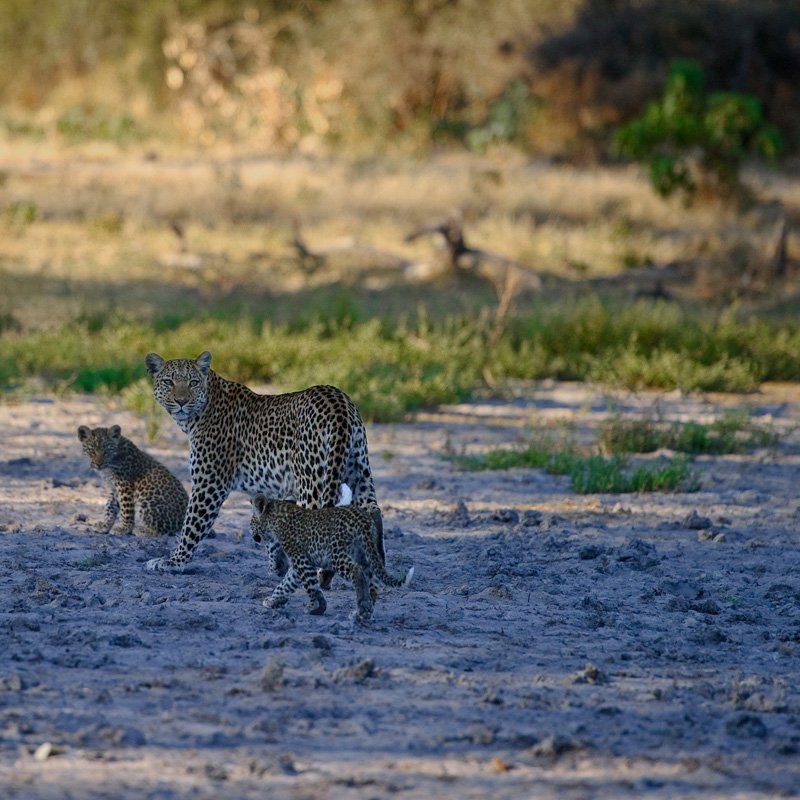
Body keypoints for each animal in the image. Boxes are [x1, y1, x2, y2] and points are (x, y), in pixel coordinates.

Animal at [144, 352, 382, 576]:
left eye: (193, 382)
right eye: (169, 382)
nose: (182, 401)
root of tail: (337, 399)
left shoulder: (209, 484)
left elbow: (191, 525)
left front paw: (173, 562)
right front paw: (277, 566)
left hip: (312, 481)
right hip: (360, 472)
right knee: (373, 513)